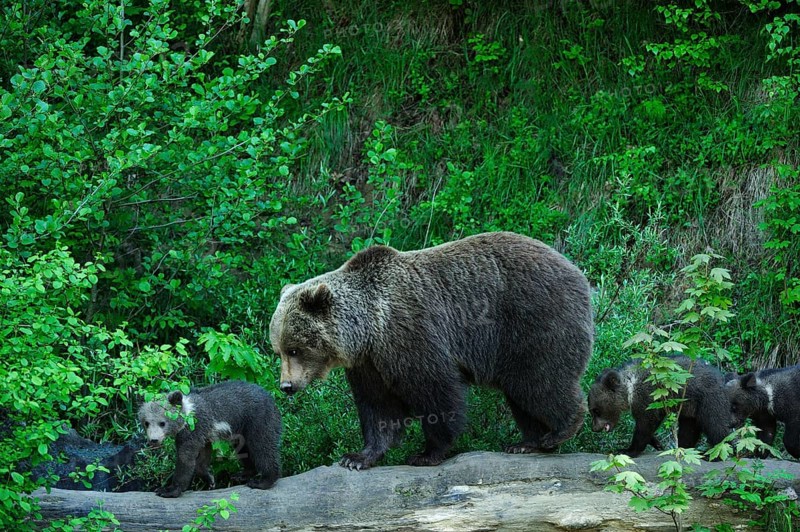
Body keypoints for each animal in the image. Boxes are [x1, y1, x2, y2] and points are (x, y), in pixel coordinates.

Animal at [138, 380, 281, 497]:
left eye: (162, 423)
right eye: (146, 423)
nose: (153, 440)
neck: (186, 417)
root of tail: (271, 397)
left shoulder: (193, 429)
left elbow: (185, 457)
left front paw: (168, 490)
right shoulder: (203, 434)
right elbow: (203, 456)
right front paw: (210, 479)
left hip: (257, 420)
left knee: (262, 446)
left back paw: (262, 481)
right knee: (244, 450)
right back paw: (242, 475)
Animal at [269, 231, 593, 469]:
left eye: (295, 349)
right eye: (279, 350)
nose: (286, 386)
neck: (370, 330)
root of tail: (579, 274)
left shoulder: (412, 335)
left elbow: (435, 392)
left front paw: (426, 453)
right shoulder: (370, 365)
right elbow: (378, 408)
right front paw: (358, 457)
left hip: (531, 322)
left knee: (539, 381)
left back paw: (560, 430)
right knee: (522, 393)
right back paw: (526, 442)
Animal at [588, 355, 731, 457]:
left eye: (596, 410)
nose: (594, 428)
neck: (629, 390)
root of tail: (722, 378)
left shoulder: (648, 396)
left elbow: (646, 423)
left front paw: (627, 450)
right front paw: (657, 443)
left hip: (708, 399)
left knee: (714, 424)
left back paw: (716, 453)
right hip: (690, 408)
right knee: (689, 429)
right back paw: (683, 448)